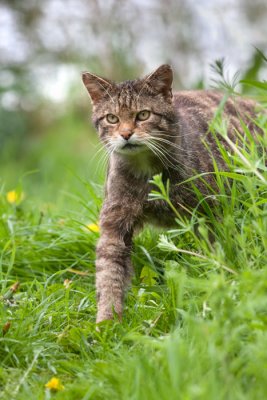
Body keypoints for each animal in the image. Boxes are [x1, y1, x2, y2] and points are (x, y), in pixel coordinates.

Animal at [82, 65, 260, 322]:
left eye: (143, 115)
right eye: (112, 118)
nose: (125, 134)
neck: (147, 174)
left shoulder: (209, 214)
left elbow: (216, 254)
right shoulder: (114, 225)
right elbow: (109, 274)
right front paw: (108, 320)